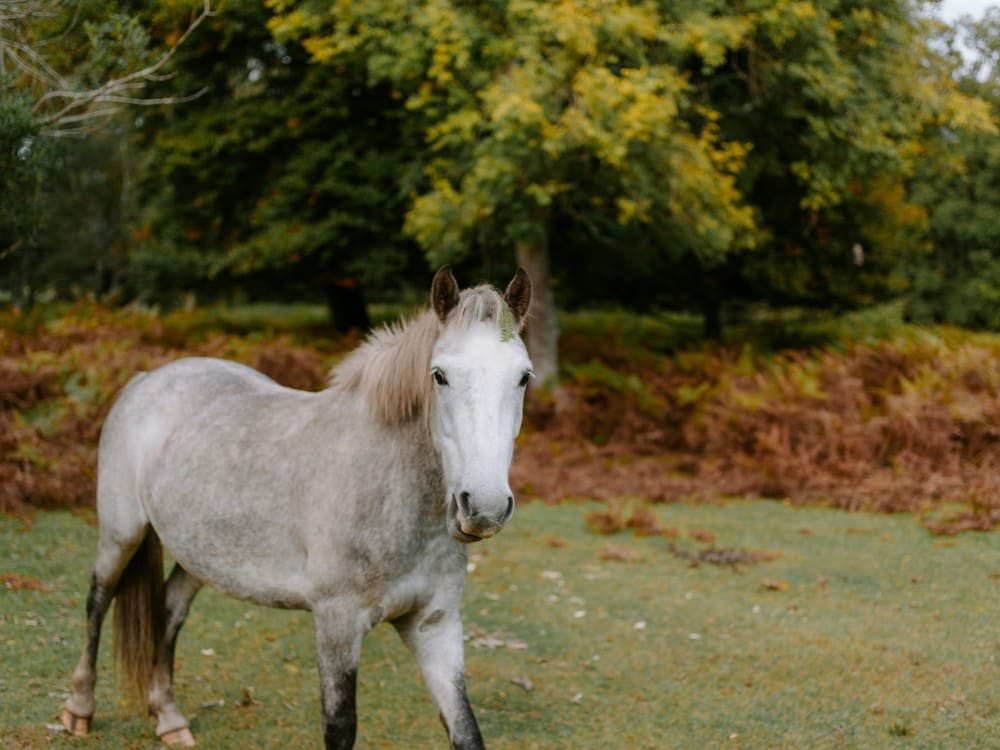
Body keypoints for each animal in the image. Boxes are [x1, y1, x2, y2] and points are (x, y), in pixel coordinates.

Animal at [60, 266, 533, 749]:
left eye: (523, 377)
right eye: (439, 375)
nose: (485, 507)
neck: (388, 490)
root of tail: (144, 380)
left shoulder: (435, 626)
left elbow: (466, 730)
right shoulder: (336, 624)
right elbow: (339, 727)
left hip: (199, 552)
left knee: (169, 609)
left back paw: (169, 718)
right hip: (121, 533)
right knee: (97, 600)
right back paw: (80, 710)